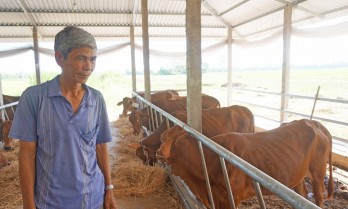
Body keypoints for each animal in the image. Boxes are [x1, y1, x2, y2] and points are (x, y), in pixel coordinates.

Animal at [159, 119, 336, 209]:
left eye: (164, 139)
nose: (158, 152)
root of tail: (315, 124)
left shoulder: (232, 197)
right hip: (298, 176)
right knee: (302, 194)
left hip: (318, 174)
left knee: (319, 198)